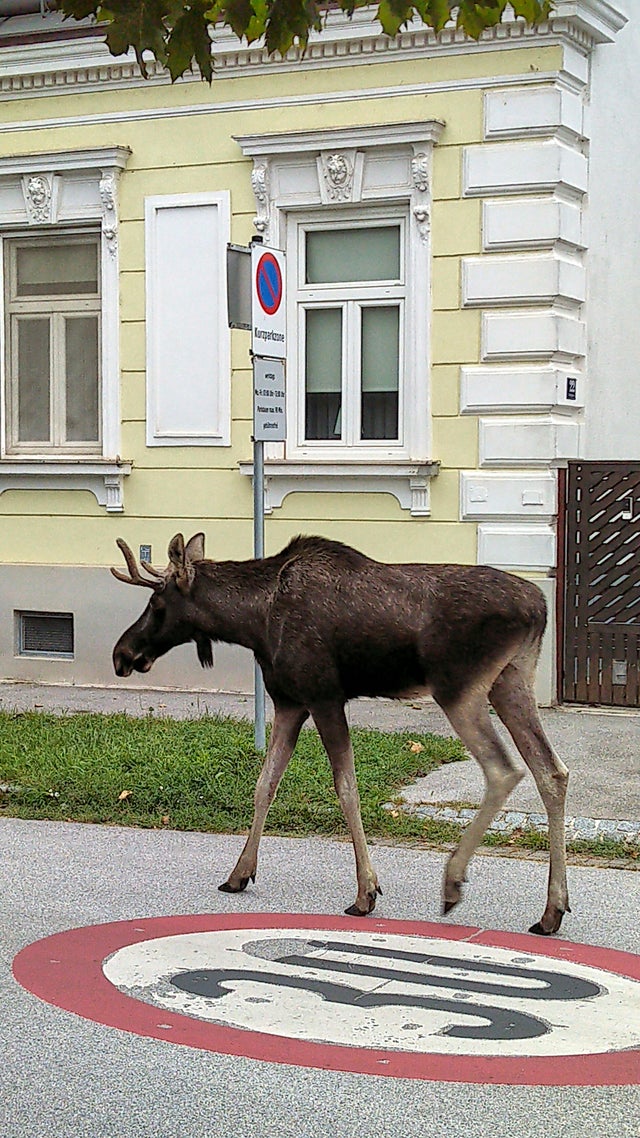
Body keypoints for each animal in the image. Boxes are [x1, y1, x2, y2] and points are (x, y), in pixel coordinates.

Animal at [111, 532, 570, 936]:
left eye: (156, 602)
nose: (122, 654)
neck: (253, 623)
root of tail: (541, 607)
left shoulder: (324, 696)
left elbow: (346, 787)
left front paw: (366, 892)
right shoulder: (290, 703)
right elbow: (265, 785)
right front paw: (239, 873)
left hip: (459, 688)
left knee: (504, 769)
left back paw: (454, 883)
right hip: (511, 680)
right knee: (553, 771)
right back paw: (551, 911)